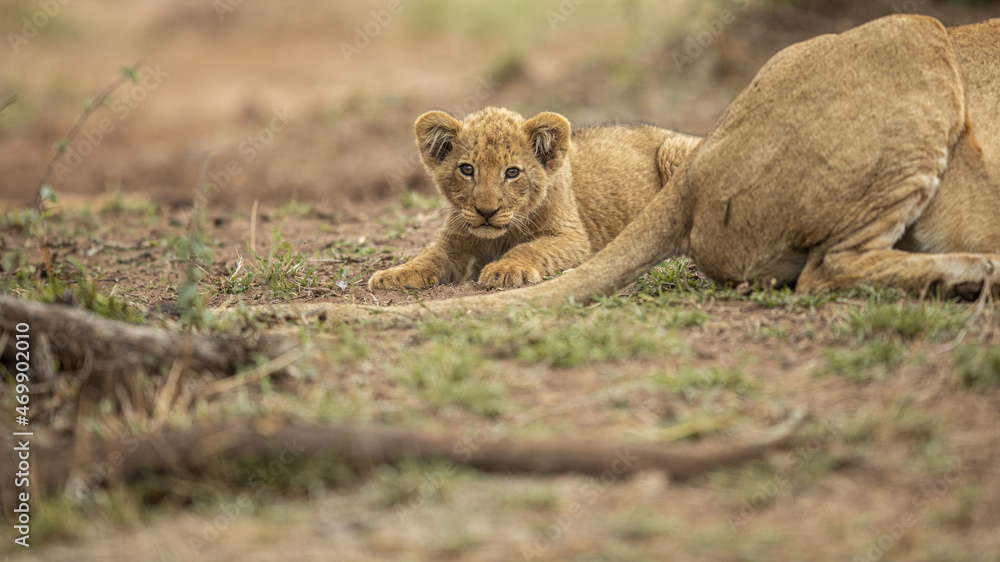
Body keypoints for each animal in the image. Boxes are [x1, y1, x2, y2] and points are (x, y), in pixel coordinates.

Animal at [368, 107, 700, 290]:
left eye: (512, 172)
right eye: (467, 169)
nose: (486, 211)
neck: (500, 234)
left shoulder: (574, 238)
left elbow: (531, 248)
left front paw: (505, 269)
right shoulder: (456, 241)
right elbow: (428, 256)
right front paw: (393, 275)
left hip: (674, 151)